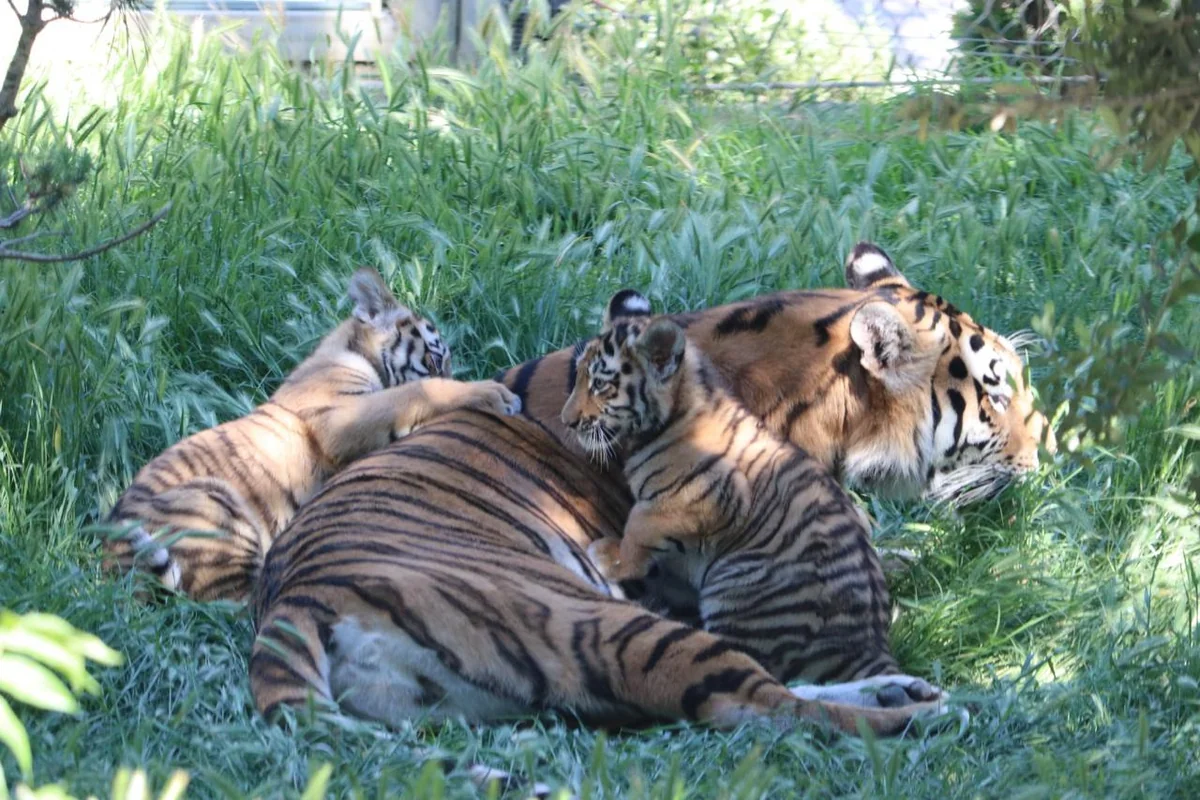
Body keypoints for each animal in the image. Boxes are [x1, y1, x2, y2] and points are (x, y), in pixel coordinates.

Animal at [102, 267, 521, 602]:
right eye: (435, 360)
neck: (350, 351)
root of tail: (108, 558)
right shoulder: (340, 419)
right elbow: (415, 391)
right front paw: (494, 393)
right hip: (213, 504)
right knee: (233, 602)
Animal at [562, 294, 909, 686]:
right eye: (578, 377)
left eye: (600, 385)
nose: (567, 421)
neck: (674, 412)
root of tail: (870, 641)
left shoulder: (696, 499)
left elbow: (638, 526)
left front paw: (611, 557)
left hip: (735, 584)